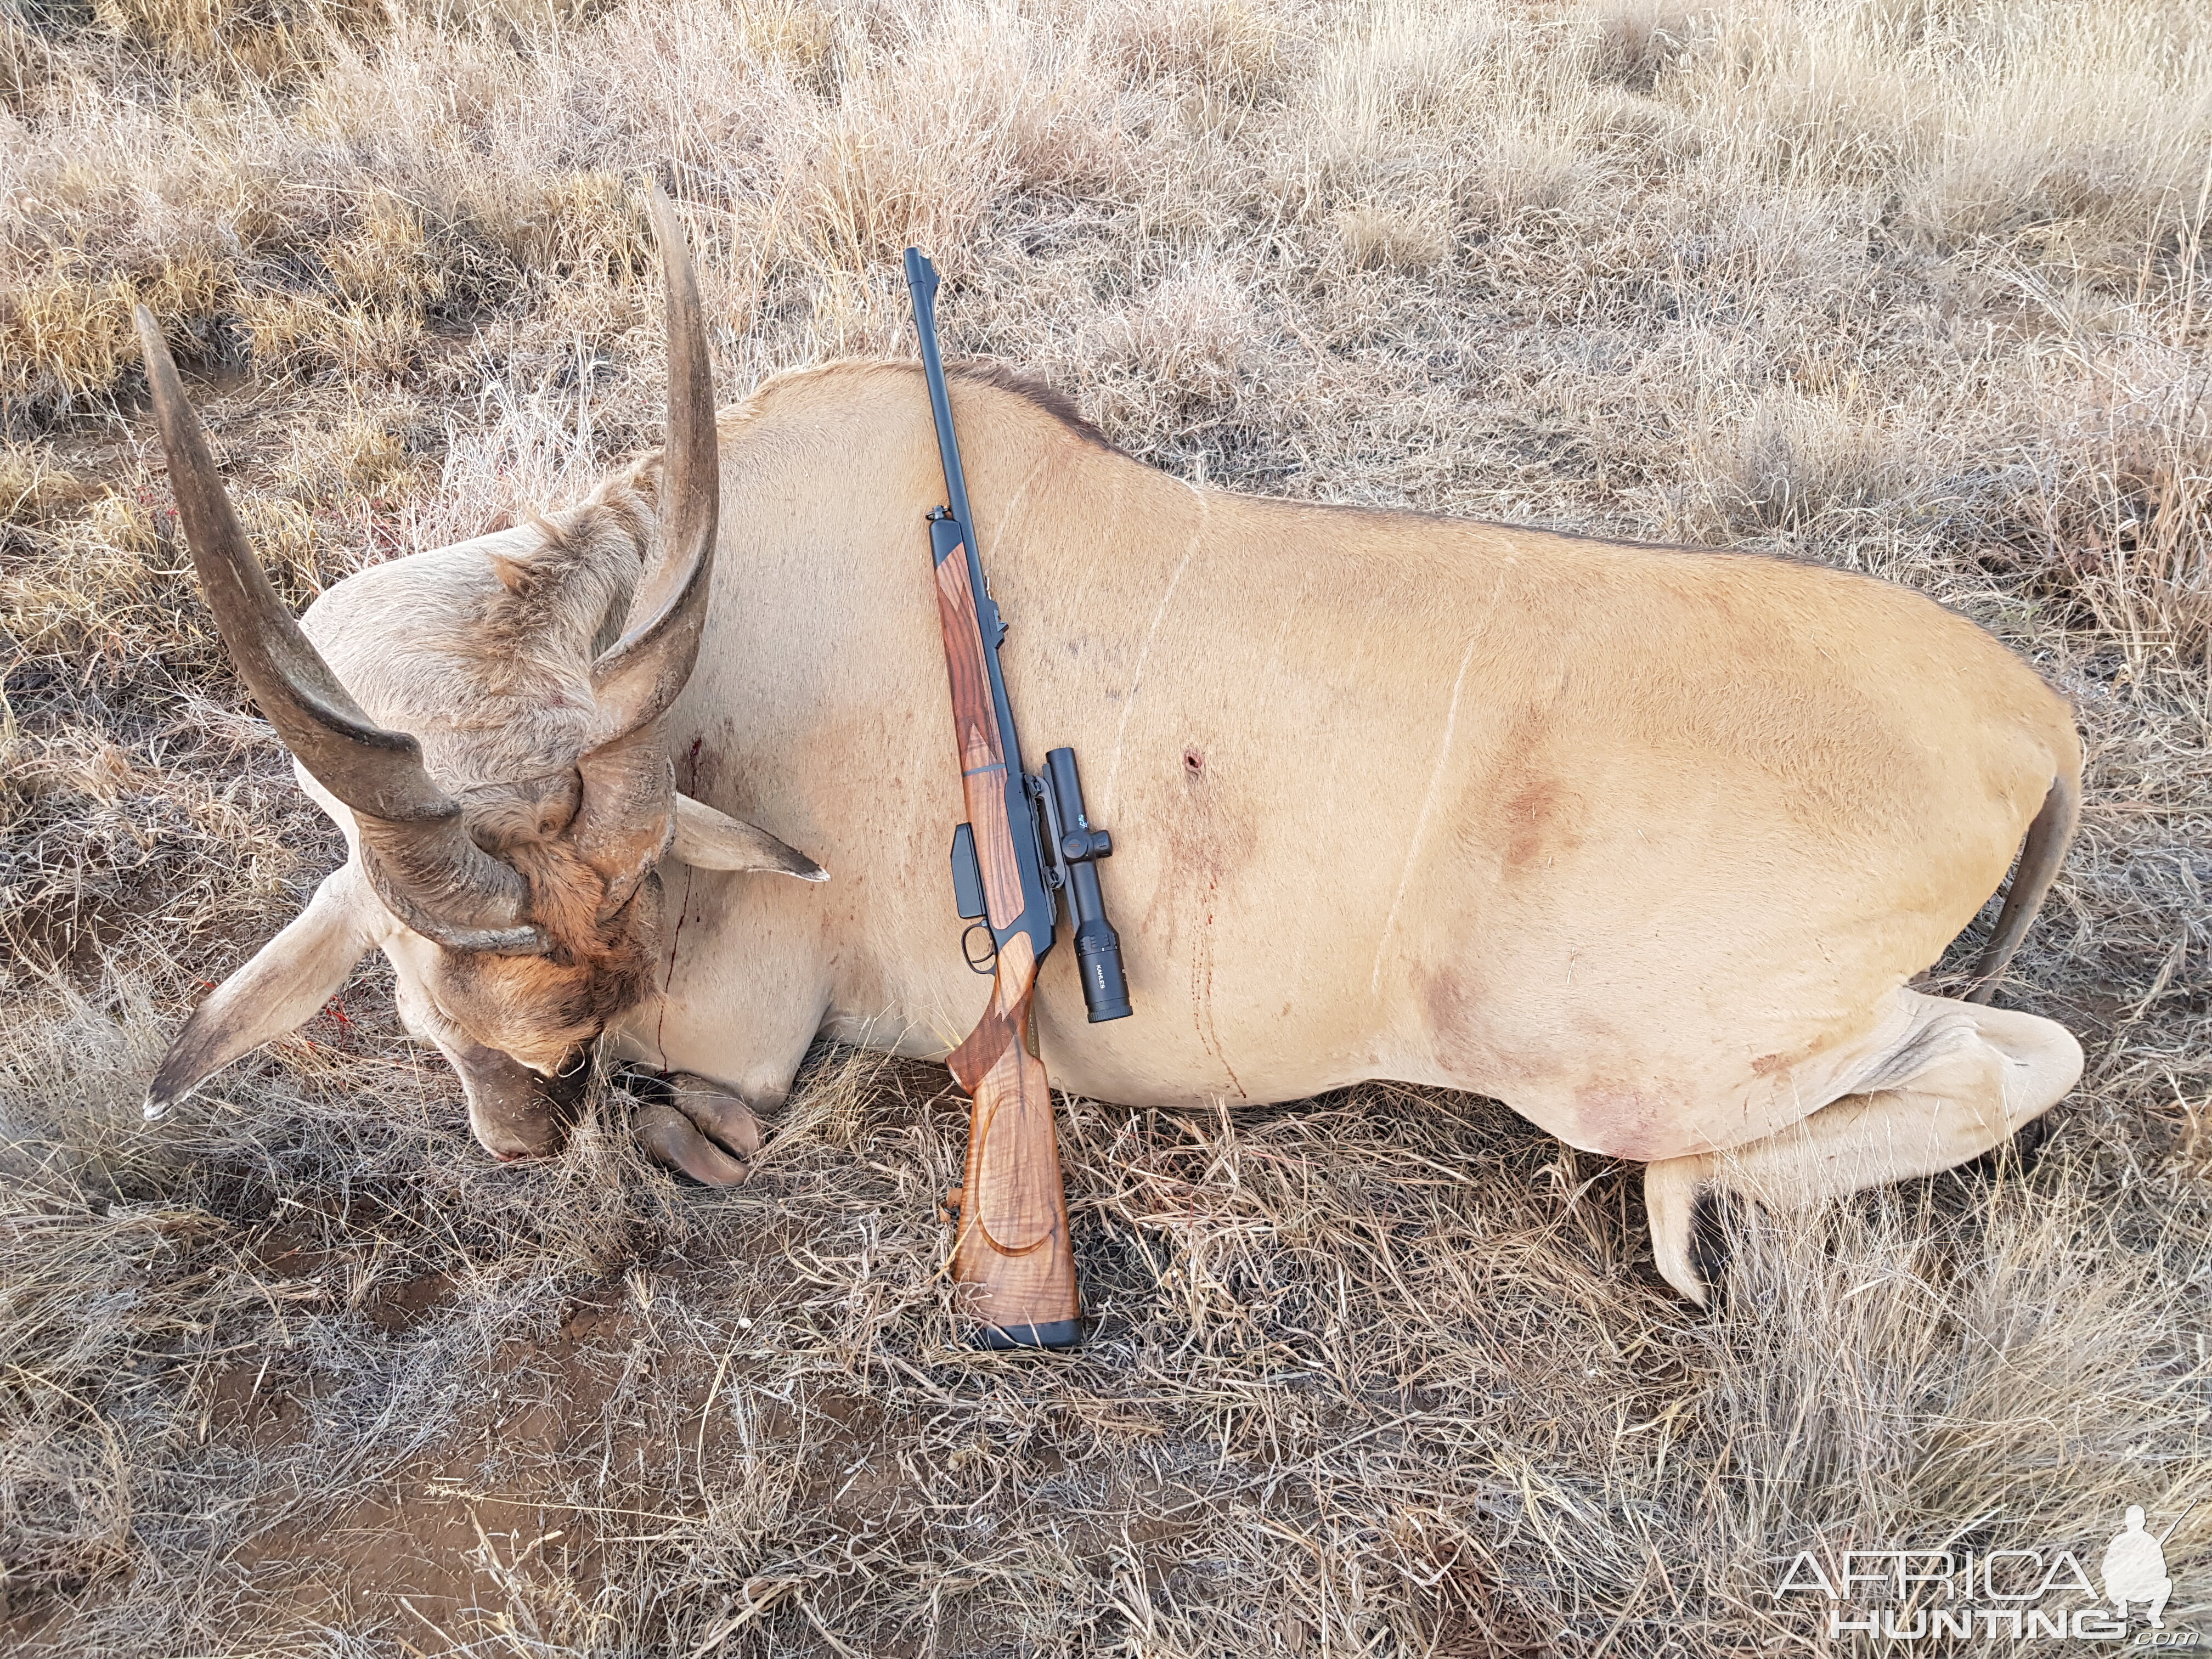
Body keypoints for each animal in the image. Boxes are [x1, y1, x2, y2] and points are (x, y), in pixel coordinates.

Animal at [133, 198, 2070, 1309]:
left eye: (422, 968)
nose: (526, 1119)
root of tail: (2029, 715)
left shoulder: (747, 1033)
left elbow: (723, 1125)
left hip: (1625, 1059)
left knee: (1995, 1065)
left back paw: (1682, 1220)